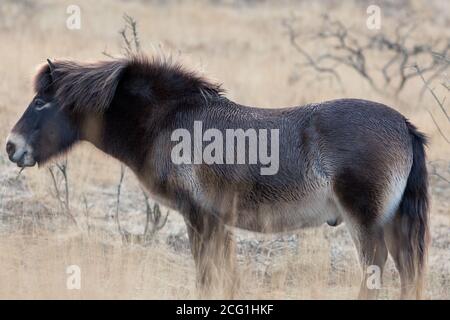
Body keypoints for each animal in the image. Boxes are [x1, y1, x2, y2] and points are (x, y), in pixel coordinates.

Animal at [6, 55, 428, 298]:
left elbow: (207, 276)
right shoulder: (217, 222)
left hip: (366, 222)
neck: (169, 122)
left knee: (376, 267)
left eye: (41, 102)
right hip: (395, 223)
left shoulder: (200, 217)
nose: (11, 147)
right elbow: (224, 276)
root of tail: (403, 125)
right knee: (407, 271)